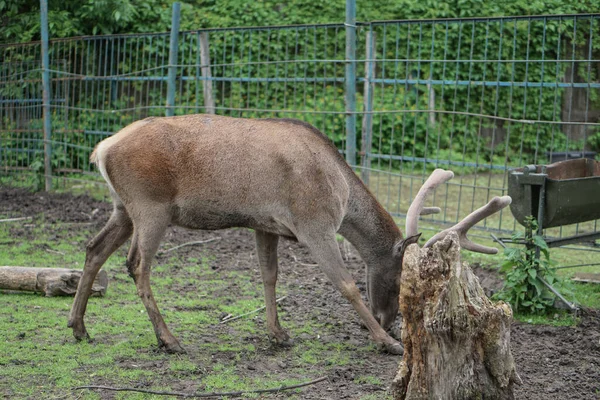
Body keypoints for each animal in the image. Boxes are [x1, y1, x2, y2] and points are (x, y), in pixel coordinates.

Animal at [69, 114, 510, 354]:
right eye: (401, 279)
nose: (390, 323)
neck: (340, 190)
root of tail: (101, 149)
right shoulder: (314, 223)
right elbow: (346, 284)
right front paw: (386, 344)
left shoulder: (265, 224)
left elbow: (269, 276)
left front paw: (278, 334)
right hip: (151, 206)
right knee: (136, 265)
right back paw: (169, 339)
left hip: (123, 207)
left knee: (93, 249)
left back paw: (79, 327)